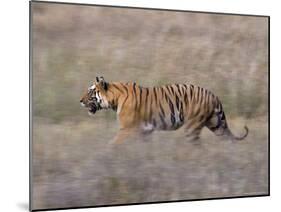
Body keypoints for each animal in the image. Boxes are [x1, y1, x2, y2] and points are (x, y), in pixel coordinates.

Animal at [79, 76, 247, 144]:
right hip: (215, 124)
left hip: (192, 126)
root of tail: (213, 95)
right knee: (229, 139)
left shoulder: (126, 129)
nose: (80, 101)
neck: (114, 99)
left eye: (90, 92)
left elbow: (113, 144)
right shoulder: (143, 131)